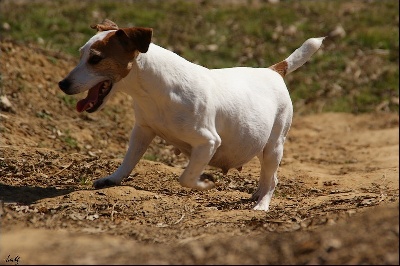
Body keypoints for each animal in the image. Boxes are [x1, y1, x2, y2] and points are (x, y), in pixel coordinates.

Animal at [57, 18, 324, 211]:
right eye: (81, 53)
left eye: (95, 59)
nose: (62, 84)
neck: (155, 89)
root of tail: (274, 70)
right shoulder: (143, 130)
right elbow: (129, 160)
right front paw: (112, 179)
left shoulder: (208, 142)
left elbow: (186, 177)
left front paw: (205, 182)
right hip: (259, 142)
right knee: (267, 175)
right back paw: (257, 193)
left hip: (274, 145)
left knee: (273, 179)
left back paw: (262, 204)